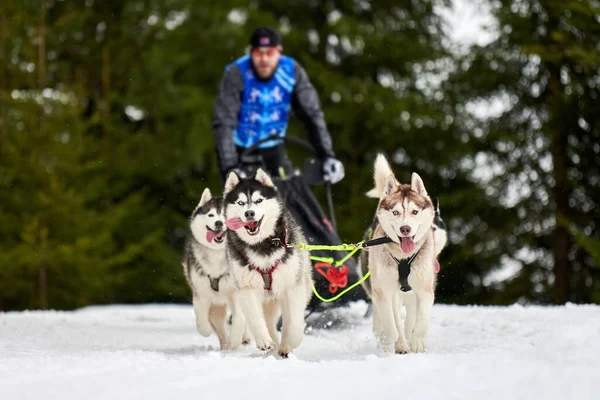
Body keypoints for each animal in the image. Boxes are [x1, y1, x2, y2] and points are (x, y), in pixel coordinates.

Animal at [184, 189, 247, 348]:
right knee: (219, 327)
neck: (217, 253)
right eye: (211, 215)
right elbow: (201, 318)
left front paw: (236, 338)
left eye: (225, 215)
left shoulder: (237, 292)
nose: (219, 223)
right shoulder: (200, 292)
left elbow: (239, 317)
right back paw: (225, 346)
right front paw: (205, 330)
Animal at [221, 170, 314, 358]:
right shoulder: (247, 289)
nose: (249, 213)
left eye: (258, 200)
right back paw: (274, 345)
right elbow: (256, 319)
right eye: (241, 202)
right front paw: (264, 341)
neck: (262, 245)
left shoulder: (292, 286)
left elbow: (295, 319)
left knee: (288, 318)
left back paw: (284, 346)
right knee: (269, 323)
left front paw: (293, 339)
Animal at [358, 154, 448, 354]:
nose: (405, 229)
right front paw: (395, 340)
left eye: (415, 211)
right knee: (382, 320)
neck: (403, 259)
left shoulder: (423, 290)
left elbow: (419, 320)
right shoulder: (385, 291)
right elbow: (392, 323)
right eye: (395, 212)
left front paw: (417, 342)